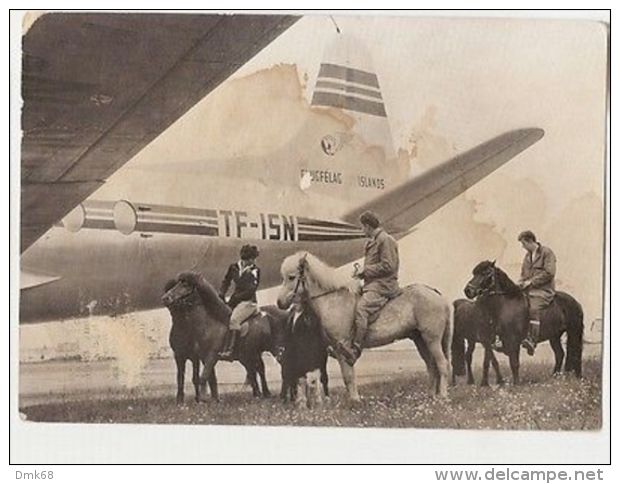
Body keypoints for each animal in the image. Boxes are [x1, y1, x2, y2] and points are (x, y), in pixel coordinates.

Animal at [160, 270, 286, 402]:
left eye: (185, 285)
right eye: (177, 284)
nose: (165, 298)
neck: (208, 323)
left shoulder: (211, 356)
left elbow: (203, 377)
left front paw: (203, 398)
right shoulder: (201, 357)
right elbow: (209, 378)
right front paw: (214, 399)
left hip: (276, 350)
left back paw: (281, 395)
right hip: (250, 354)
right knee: (257, 369)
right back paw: (263, 394)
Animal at [276, 251, 450, 398]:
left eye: (291, 277)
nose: (279, 303)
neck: (333, 301)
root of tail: (436, 294)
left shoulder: (344, 347)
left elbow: (348, 377)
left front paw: (355, 401)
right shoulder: (338, 350)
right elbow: (346, 378)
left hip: (432, 339)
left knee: (442, 364)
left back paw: (442, 396)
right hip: (420, 339)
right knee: (431, 366)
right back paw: (430, 396)